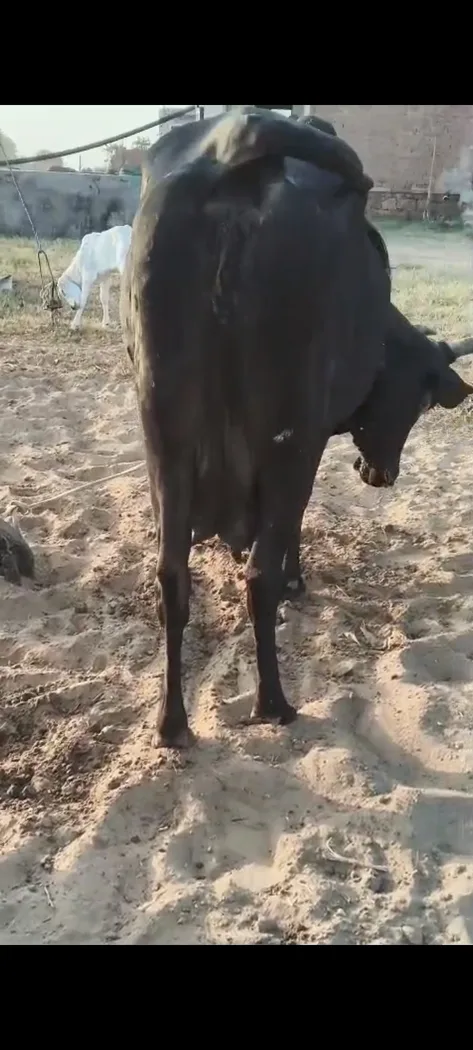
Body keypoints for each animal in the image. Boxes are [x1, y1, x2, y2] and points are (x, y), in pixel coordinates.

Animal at [121, 108, 473, 749]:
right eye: (417, 403)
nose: (380, 473)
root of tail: (235, 146)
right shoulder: (308, 444)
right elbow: (292, 535)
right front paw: (297, 581)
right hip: (289, 441)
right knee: (257, 575)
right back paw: (274, 703)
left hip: (163, 439)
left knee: (171, 578)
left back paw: (172, 722)